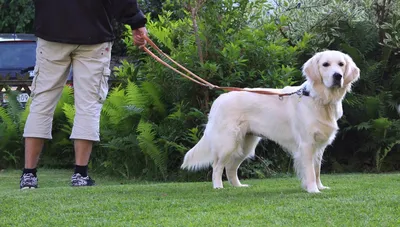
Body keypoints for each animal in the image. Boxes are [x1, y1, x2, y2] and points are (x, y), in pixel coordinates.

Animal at [180, 50, 360, 193]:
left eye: (341, 64)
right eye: (325, 64)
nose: (338, 76)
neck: (319, 98)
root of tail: (219, 99)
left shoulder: (319, 146)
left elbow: (317, 170)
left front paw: (320, 186)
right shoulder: (307, 144)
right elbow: (309, 170)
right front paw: (313, 190)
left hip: (246, 144)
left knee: (231, 167)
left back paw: (239, 186)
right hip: (228, 143)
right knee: (217, 166)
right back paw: (218, 186)